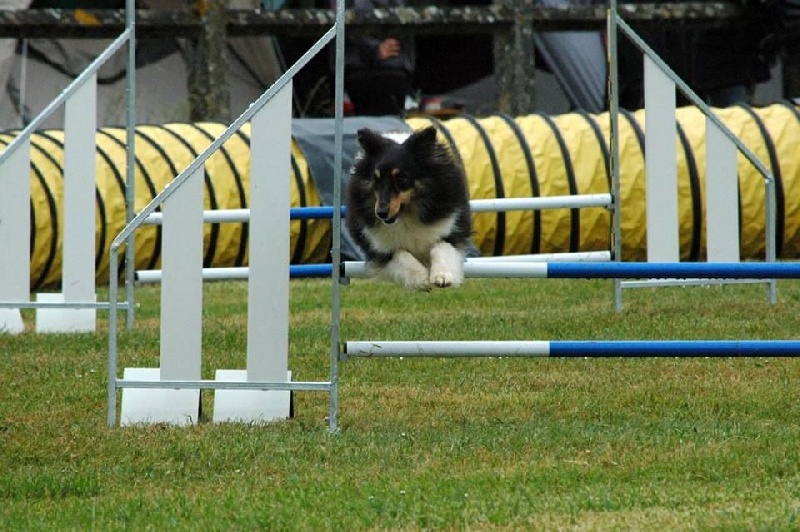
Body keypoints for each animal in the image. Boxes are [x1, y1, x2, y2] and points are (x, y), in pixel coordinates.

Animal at [346, 125, 472, 290]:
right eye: (376, 179)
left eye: (401, 178)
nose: (381, 213)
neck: (407, 215)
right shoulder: (381, 249)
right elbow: (401, 254)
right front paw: (421, 280)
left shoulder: (451, 228)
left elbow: (441, 247)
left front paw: (442, 276)